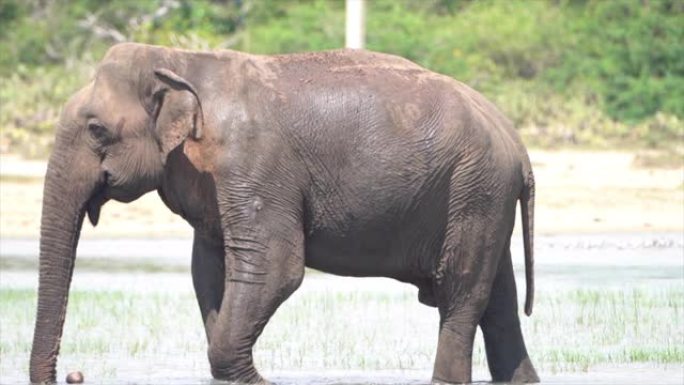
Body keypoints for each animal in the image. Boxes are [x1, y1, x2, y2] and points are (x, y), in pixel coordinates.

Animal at [29, 42, 540, 384]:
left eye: (96, 130)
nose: (74, 375)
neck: (179, 58)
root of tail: (518, 146)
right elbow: (208, 270)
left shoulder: (253, 163)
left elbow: (275, 267)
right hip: (481, 196)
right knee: (499, 300)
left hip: (475, 189)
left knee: (461, 293)